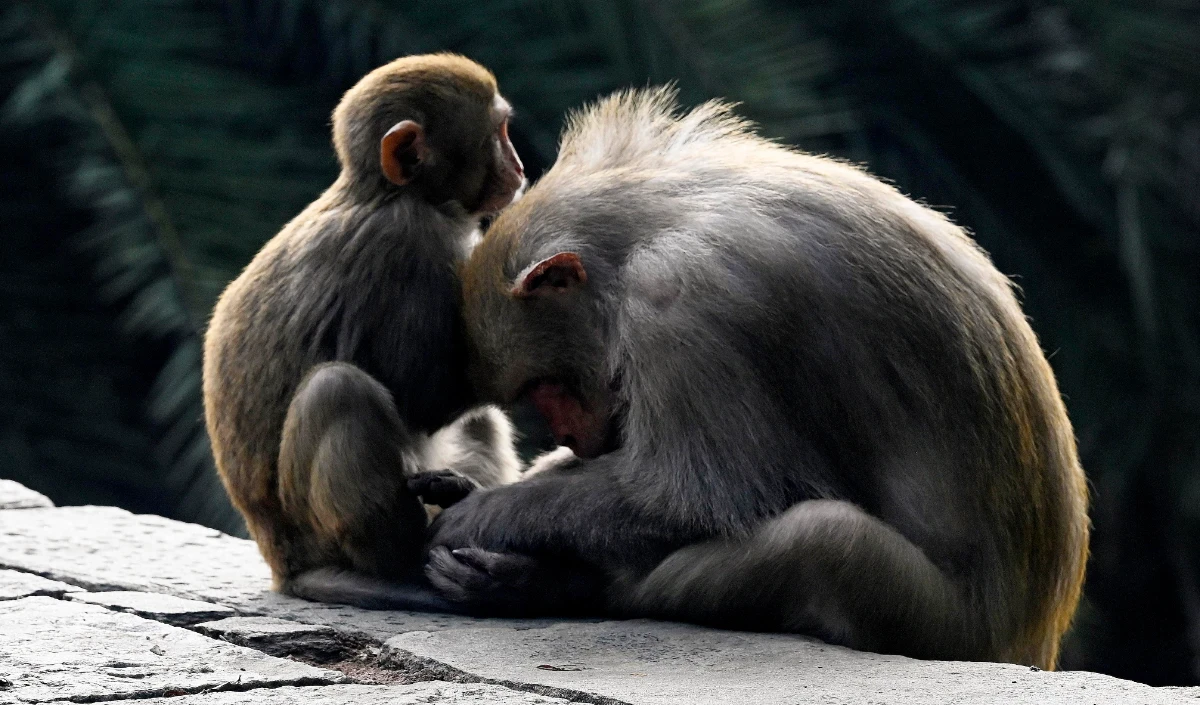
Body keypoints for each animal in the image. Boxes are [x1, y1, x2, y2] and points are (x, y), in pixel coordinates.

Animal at [201, 53, 527, 605]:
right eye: (500, 133)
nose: (520, 168)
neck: (384, 194)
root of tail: (283, 564)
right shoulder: (411, 243)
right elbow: (422, 395)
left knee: (474, 420)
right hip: (314, 533)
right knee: (339, 389)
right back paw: (405, 563)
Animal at [420, 88, 1090, 669]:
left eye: (545, 387)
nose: (570, 437)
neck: (647, 226)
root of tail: (1029, 642)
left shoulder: (681, 305)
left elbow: (689, 499)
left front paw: (482, 513)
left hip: (939, 627)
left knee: (824, 540)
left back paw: (568, 586)